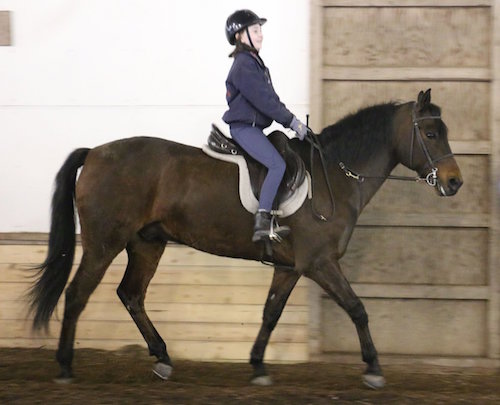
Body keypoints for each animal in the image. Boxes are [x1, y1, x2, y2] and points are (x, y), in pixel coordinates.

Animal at [29, 89, 462, 388]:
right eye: (430, 133)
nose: (455, 182)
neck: (333, 176)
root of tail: (95, 152)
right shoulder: (320, 263)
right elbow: (357, 308)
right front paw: (373, 368)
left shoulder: (291, 267)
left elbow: (271, 313)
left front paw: (258, 366)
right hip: (104, 243)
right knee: (77, 294)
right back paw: (65, 366)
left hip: (147, 243)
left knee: (132, 295)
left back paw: (163, 358)